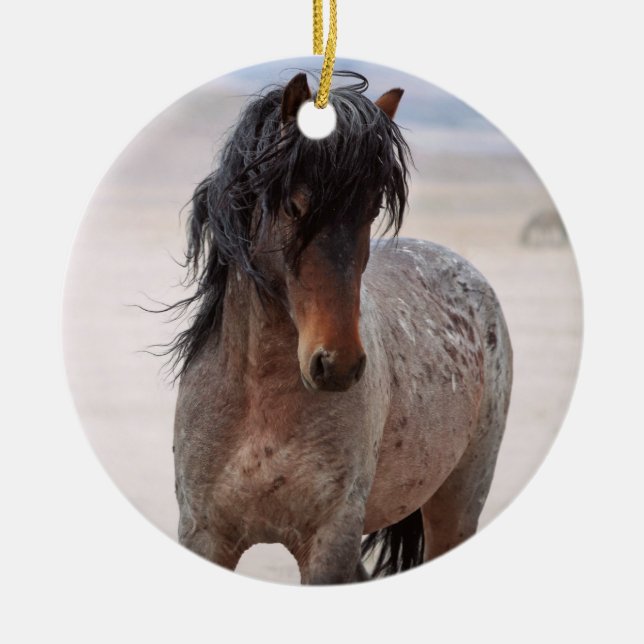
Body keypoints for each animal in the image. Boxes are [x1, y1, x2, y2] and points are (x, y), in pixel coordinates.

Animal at [167, 71, 513, 584]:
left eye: (371, 211)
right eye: (294, 206)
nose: (338, 364)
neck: (261, 411)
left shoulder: (330, 543)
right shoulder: (204, 535)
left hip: (457, 503)